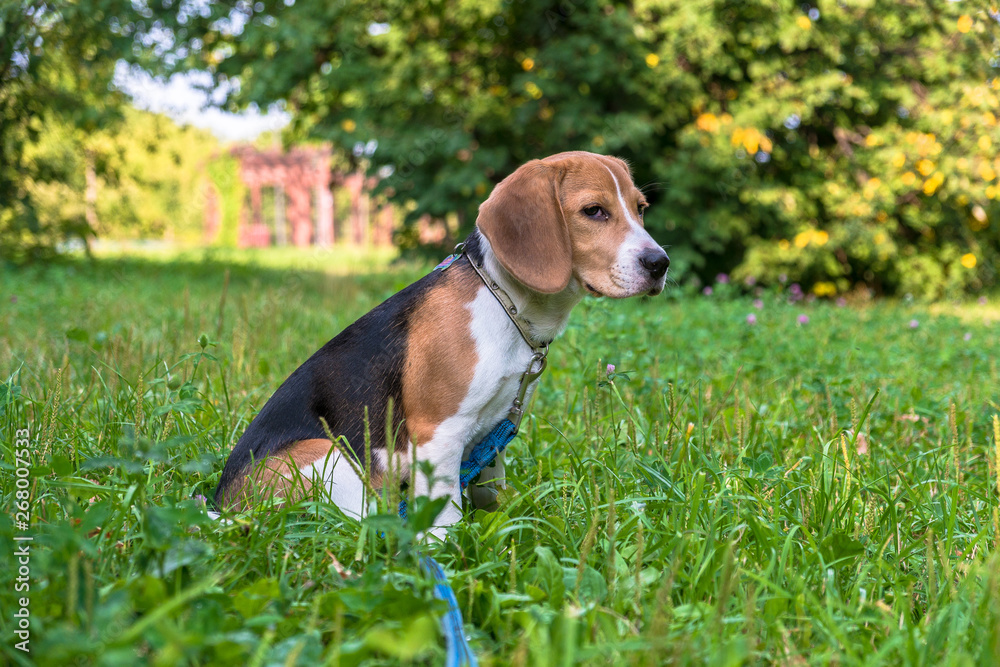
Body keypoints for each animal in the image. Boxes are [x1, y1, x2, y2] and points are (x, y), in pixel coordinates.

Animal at [219, 150, 672, 532]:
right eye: (593, 211)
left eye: (640, 209)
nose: (660, 263)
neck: (503, 300)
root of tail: (224, 507)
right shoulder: (440, 434)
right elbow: (446, 514)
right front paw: (449, 553)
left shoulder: (494, 432)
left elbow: (490, 491)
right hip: (325, 453)